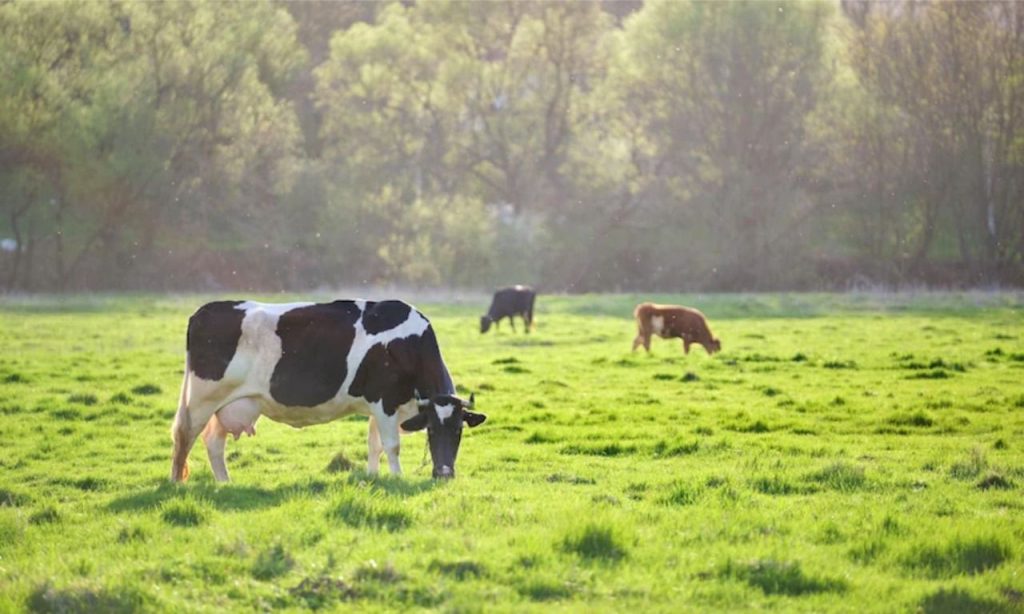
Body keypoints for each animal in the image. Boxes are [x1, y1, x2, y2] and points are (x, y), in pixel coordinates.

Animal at [169, 298, 485, 483]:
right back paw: (177, 483)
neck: (408, 344)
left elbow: (374, 445)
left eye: (459, 430)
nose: (444, 474)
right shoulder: (384, 402)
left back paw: (225, 483)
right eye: (430, 430)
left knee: (213, 441)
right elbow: (392, 445)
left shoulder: (379, 407)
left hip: (232, 404)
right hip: (202, 399)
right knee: (185, 436)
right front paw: (397, 477)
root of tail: (204, 310)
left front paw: (374, 475)